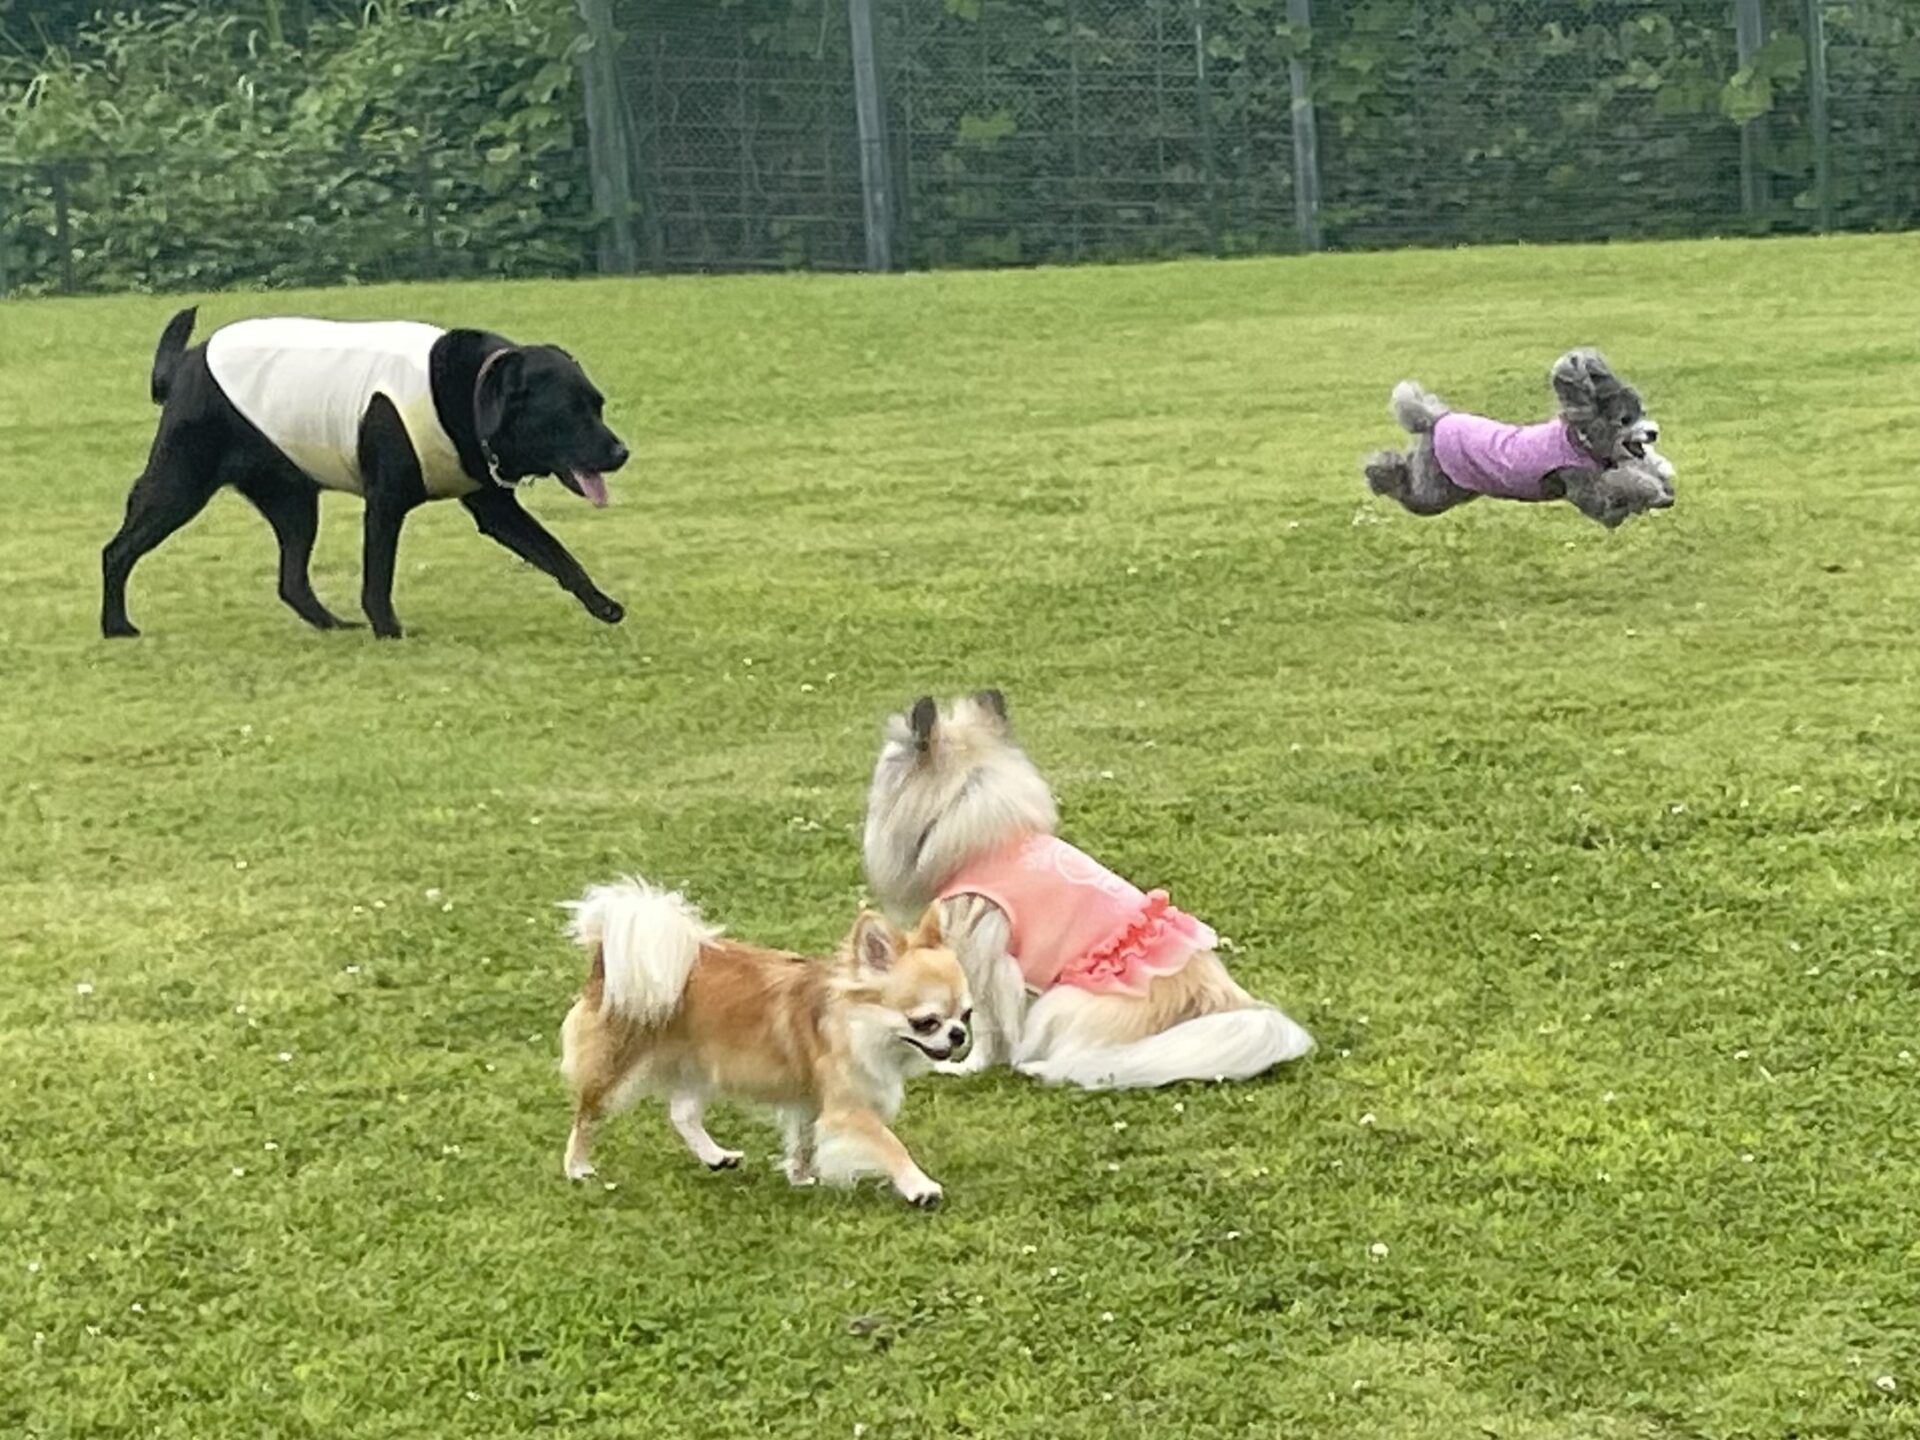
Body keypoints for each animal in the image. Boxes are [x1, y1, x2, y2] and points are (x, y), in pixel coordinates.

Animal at [101, 307, 630, 639]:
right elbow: (379, 576)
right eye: (569, 412)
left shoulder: (493, 506)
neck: (469, 391)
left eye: (598, 404)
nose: (621, 451)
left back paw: (333, 625)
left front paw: (602, 604)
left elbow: (557, 554)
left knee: (291, 582)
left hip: (294, 502)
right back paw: (116, 627)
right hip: (178, 485)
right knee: (117, 551)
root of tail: (186, 361)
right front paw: (388, 630)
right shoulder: (385, 504)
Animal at [558, 879, 969, 1208]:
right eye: (926, 1022)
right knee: (587, 1113)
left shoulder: (810, 1101)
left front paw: (800, 1176)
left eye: (966, 1015)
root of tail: (605, 960)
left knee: (682, 1114)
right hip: (617, 1065)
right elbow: (889, 1143)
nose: (959, 1034)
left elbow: (804, 1139)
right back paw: (577, 1167)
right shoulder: (848, 1108)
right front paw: (920, 1187)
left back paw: (715, 1155)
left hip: (700, 1065)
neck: (856, 1024)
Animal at [1364, 348, 1675, 529]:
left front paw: (1662, 476)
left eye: (1643, 412)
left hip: (1454, 488)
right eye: (1625, 420)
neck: (1581, 441)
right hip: (1434, 491)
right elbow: (1618, 485)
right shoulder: (1583, 489)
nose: (1653, 432)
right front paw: (1654, 492)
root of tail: (1436, 419)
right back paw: (1374, 471)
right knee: (1405, 487)